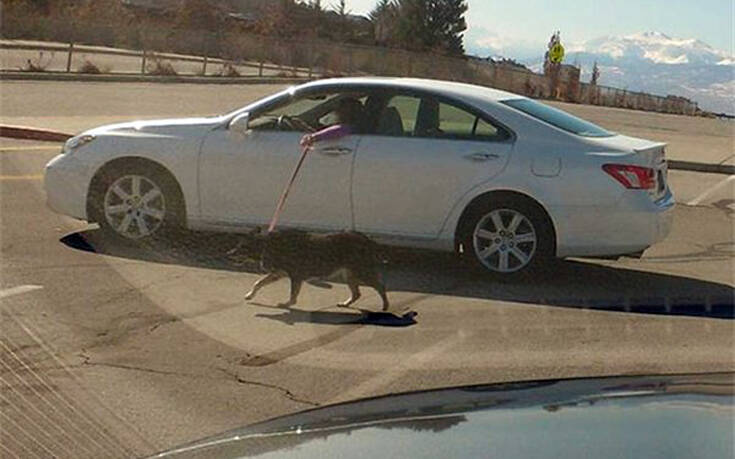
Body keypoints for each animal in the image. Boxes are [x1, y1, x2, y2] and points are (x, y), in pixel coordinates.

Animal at [242, 232, 392, 310]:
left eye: (241, 247)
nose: (230, 252)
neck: (270, 245)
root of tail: (367, 239)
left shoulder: (295, 276)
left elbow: (293, 294)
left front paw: (287, 304)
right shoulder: (278, 273)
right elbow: (258, 283)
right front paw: (250, 295)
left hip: (362, 271)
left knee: (380, 286)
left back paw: (385, 305)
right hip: (349, 274)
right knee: (357, 293)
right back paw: (345, 303)